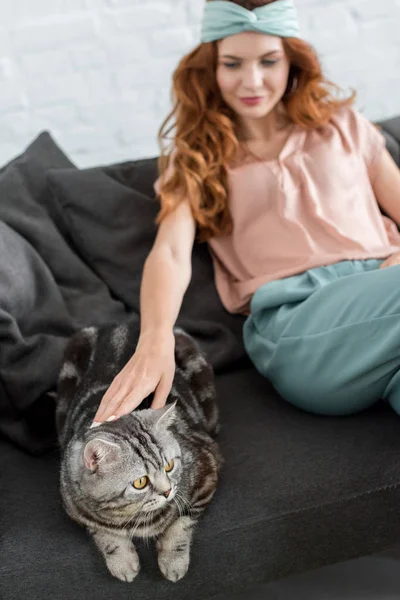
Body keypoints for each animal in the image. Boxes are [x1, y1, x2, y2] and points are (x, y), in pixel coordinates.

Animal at [54, 322, 223, 584]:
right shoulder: (74, 508)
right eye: (140, 482)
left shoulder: (207, 468)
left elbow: (181, 524)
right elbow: (102, 532)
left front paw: (173, 560)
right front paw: (121, 560)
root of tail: (124, 323)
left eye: (169, 466)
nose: (168, 491)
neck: (127, 515)